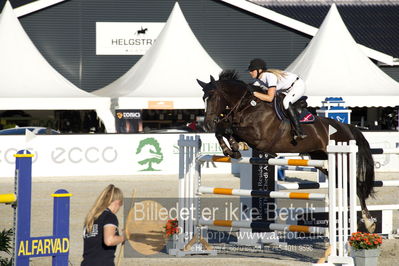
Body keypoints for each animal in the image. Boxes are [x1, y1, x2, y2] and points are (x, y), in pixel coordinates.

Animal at [198, 69, 376, 232]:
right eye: (203, 98)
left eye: (212, 96)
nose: (206, 125)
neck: (248, 106)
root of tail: (346, 127)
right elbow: (223, 130)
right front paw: (233, 149)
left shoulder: (259, 137)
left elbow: (229, 129)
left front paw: (234, 147)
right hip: (323, 161)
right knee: (348, 187)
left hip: (340, 159)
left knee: (357, 187)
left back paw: (369, 223)